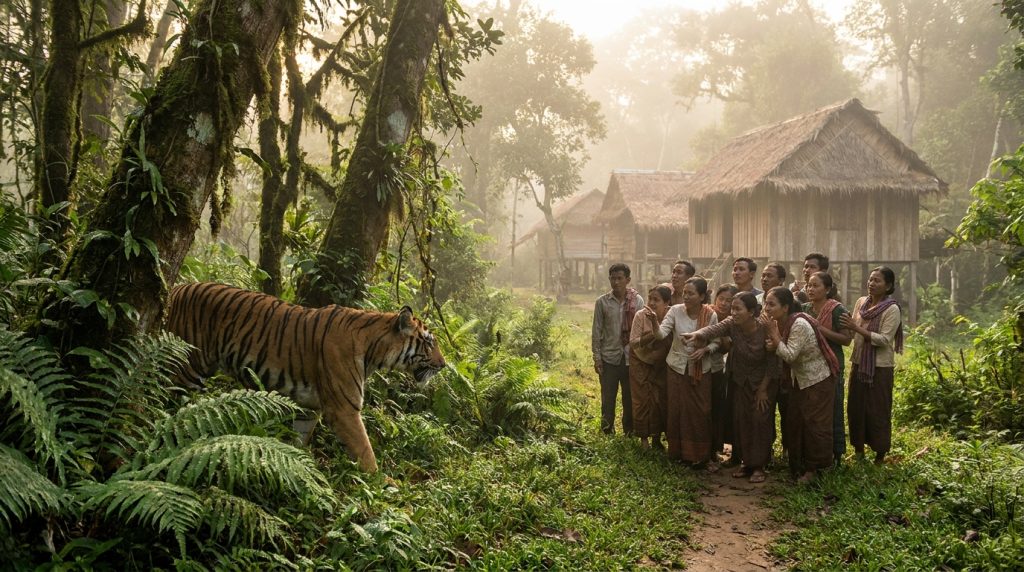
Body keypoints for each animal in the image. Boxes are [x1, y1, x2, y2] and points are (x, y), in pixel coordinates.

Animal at [164, 281, 446, 473]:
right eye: (429, 343)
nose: (443, 365)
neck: (374, 350)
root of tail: (177, 288)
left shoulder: (309, 409)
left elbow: (300, 438)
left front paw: (298, 464)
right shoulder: (344, 409)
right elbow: (366, 451)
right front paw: (382, 485)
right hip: (189, 366)